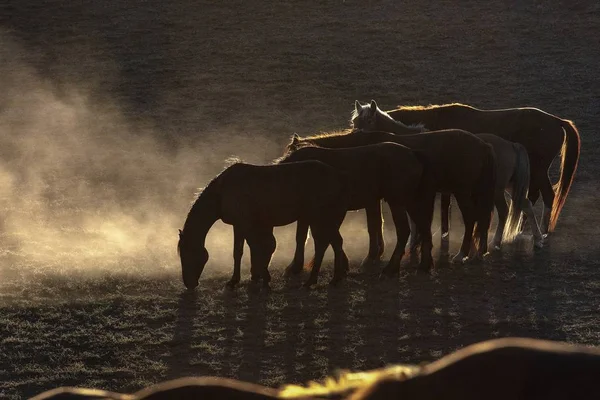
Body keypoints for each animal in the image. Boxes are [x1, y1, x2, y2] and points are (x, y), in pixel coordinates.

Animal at [176, 160, 350, 290]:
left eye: (186, 255)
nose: (189, 284)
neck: (222, 191)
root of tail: (338, 176)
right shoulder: (240, 226)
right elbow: (242, 251)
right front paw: (242, 279)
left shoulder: (244, 224)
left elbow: (252, 249)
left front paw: (261, 277)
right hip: (325, 221)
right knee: (333, 243)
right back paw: (332, 279)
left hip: (319, 219)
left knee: (323, 245)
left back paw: (314, 280)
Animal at [276, 141, 436, 276]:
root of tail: (413, 153)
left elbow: (304, 237)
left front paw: (295, 267)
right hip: (410, 202)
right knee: (424, 227)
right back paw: (424, 265)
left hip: (397, 202)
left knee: (404, 231)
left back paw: (391, 268)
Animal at [288, 130, 496, 264]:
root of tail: (484, 145)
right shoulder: (376, 198)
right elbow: (377, 223)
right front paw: (378, 252)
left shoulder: (373, 199)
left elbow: (373, 224)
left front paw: (373, 255)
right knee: (482, 219)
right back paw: (478, 252)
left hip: (462, 191)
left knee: (471, 218)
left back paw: (462, 254)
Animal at [356, 101, 580, 236]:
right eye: (354, 120)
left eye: (367, 121)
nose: (354, 137)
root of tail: (556, 121)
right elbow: (446, 204)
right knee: (530, 198)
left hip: (539, 170)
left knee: (547, 197)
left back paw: (541, 231)